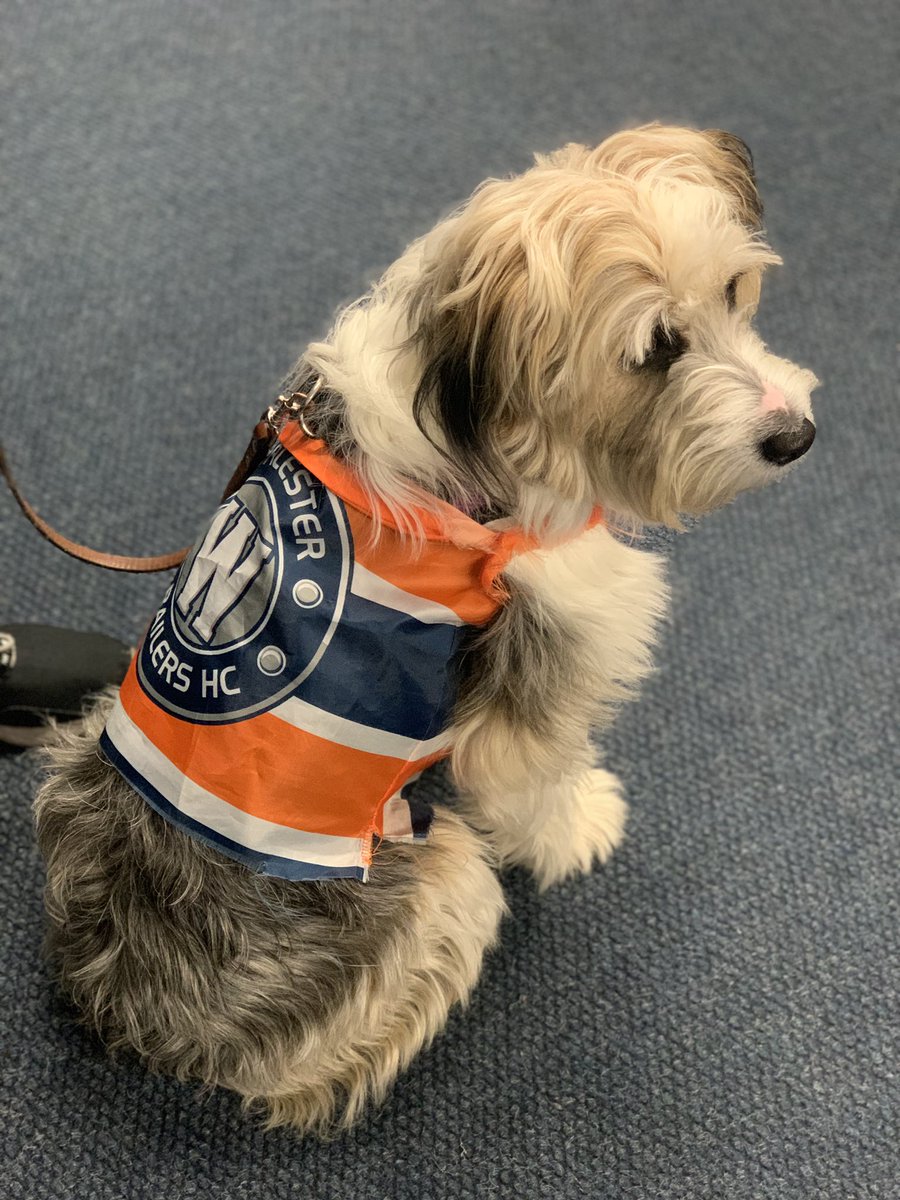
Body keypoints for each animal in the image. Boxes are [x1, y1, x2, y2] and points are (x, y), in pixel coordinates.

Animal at [33, 124, 816, 1132]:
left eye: (732, 290)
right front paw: (580, 826)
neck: (488, 430)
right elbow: (536, 779)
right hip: (444, 877)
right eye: (654, 349)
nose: (794, 437)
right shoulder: (536, 681)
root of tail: (121, 1009)